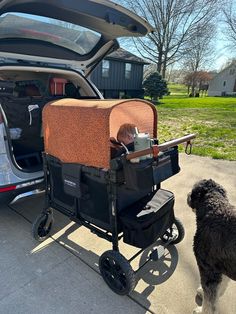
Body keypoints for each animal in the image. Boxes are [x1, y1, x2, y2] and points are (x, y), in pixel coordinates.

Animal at [187, 179, 235, 314]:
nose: (188, 195)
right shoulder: (222, 266)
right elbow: (220, 287)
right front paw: (202, 292)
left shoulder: (208, 268)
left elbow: (210, 302)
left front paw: (201, 310)